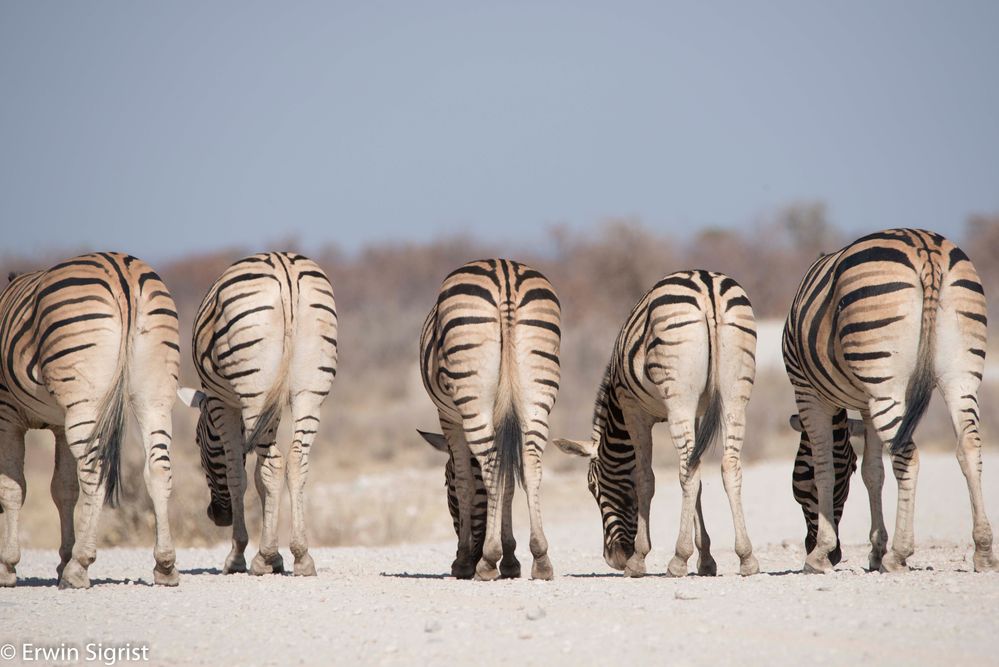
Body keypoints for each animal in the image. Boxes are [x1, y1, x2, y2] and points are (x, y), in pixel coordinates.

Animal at [0, 253, 180, 588]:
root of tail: (123, 272)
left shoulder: (7, 415)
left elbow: (13, 488)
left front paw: (8, 566)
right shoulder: (58, 425)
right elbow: (63, 488)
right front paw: (60, 559)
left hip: (85, 402)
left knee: (95, 473)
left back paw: (79, 567)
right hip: (155, 395)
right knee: (159, 469)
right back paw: (165, 566)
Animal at [178, 253, 338, 576]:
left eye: (198, 443)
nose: (216, 516)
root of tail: (285, 270)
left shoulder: (221, 403)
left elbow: (238, 475)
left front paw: (240, 555)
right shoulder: (271, 410)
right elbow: (259, 476)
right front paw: (276, 555)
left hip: (256, 389)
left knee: (275, 463)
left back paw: (262, 558)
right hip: (310, 389)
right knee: (296, 461)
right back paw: (302, 556)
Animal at [418, 258, 564, 580]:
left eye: (444, 484)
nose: (469, 556)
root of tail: (504, 272)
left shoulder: (449, 419)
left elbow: (466, 482)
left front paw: (464, 561)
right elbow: (509, 481)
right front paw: (511, 558)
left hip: (471, 395)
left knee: (491, 464)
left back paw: (486, 561)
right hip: (538, 395)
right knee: (530, 466)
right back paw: (541, 559)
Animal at [556, 272, 756, 580]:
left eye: (592, 486)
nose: (614, 559)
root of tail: (708, 286)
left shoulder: (633, 410)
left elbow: (644, 479)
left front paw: (638, 559)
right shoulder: (696, 414)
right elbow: (697, 484)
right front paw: (706, 560)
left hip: (678, 398)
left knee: (688, 469)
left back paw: (678, 559)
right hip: (735, 395)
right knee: (728, 466)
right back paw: (746, 557)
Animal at [784, 230, 996, 576]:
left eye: (802, 478)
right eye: (850, 472)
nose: (837, 555)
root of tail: (926, 249)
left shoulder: (808, 393)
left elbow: (825, 466)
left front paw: (819, 556)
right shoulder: (866, 404)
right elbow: (874, 472)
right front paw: (874, 550)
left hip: (886, 382)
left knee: (908, 456)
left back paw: (899, 554)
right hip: (961, 375)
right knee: (969, 448)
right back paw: (984, 551)